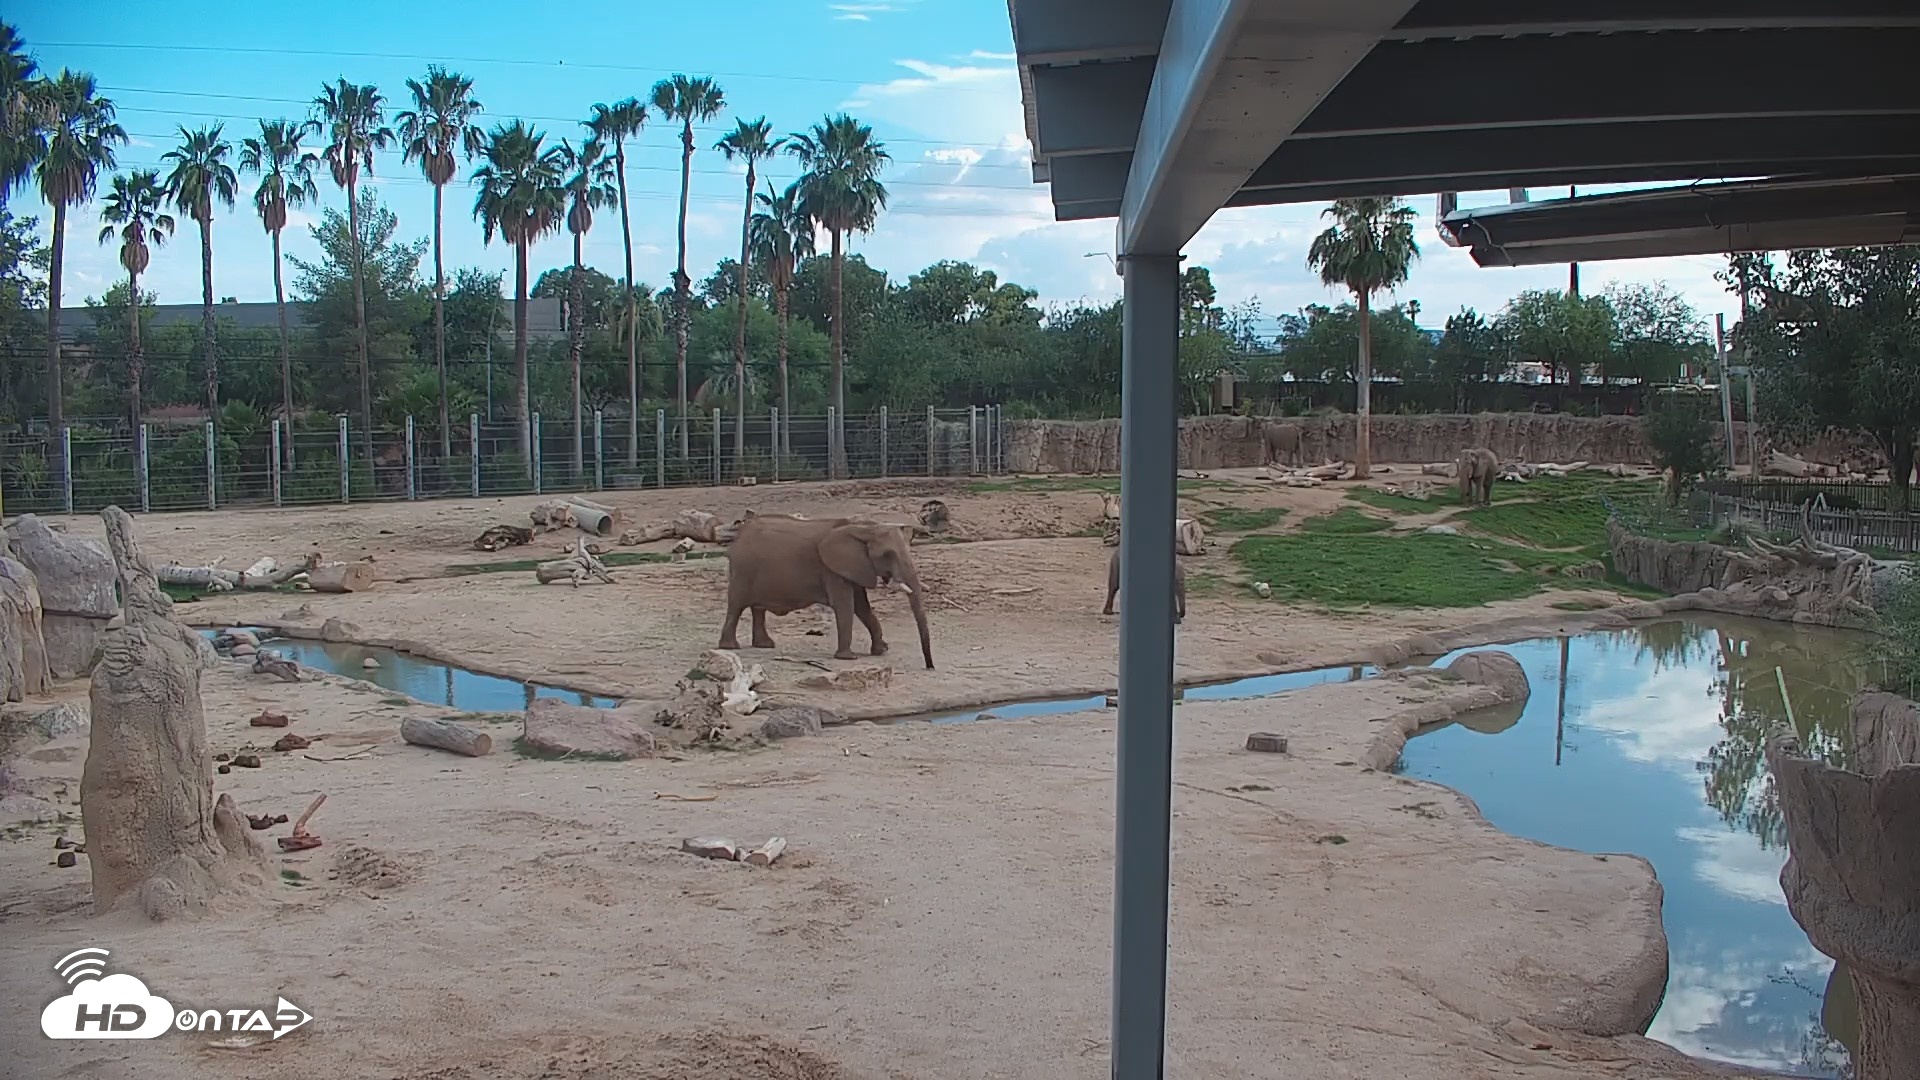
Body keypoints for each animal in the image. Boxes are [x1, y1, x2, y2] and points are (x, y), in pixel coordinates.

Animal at [719, 515, 934, 669]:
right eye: (887, 555)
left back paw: (764, 645)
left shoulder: (856, 567)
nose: (930, 666)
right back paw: (730, 647)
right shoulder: (833, 570)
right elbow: (846, 606)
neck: (864, 527)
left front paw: (881, 651)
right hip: (742, 570)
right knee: (736, 606)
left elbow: (862, 607)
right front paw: (848, 658)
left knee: (757, 608)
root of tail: (739, 534)